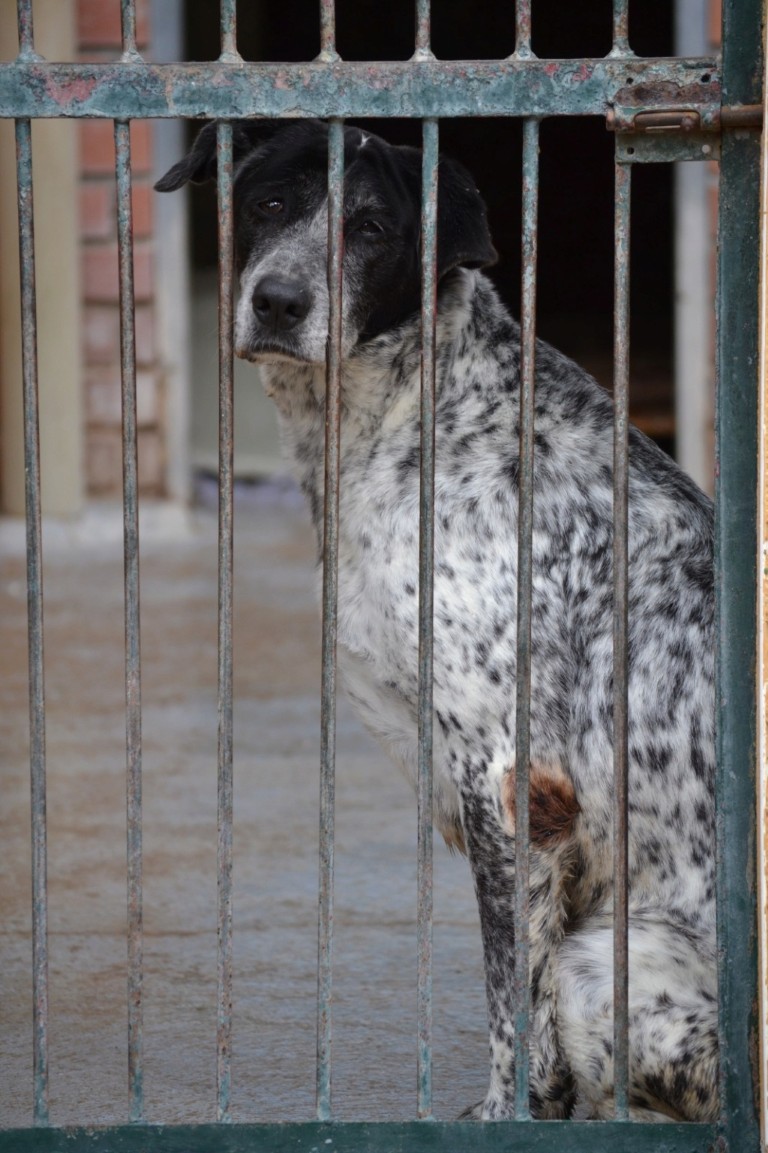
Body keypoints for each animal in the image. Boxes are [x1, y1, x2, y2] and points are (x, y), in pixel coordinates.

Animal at [157, 120, 718, 1122]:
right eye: (267, 202)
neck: (412, 415)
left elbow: (511, 996)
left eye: (375, 228)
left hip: (606, 968)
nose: (279, 300)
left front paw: (507, 1118)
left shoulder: (514, 785)